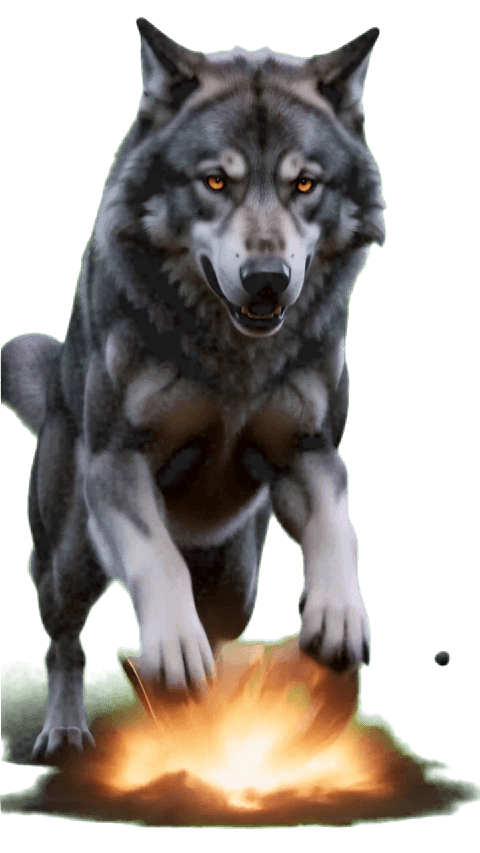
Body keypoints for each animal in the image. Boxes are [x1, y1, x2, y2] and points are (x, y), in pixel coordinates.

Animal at [1, 18, 385, 761]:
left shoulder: (311, 454)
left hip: (237, 578)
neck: (234, 358)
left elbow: (339, 525)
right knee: (65, 643)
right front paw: (172, 645)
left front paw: (337, 613)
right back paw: (67, 729)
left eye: (305, 183)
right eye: (214, 180)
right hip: (70, 562)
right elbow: (156, 557)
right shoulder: (115, 461)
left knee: (222, 624)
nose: (267, 279)